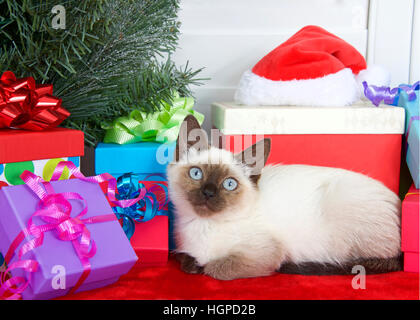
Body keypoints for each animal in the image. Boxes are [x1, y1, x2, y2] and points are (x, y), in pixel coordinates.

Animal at [168, 115, 404, 280]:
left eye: (229, 184)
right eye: (196, 173)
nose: (208, 193)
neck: (202, 226)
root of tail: (397, 202)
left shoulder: (267, 253)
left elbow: (215, 269)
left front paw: (205, 266)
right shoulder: (180, 249)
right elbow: (185, 259)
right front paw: (193, 264)